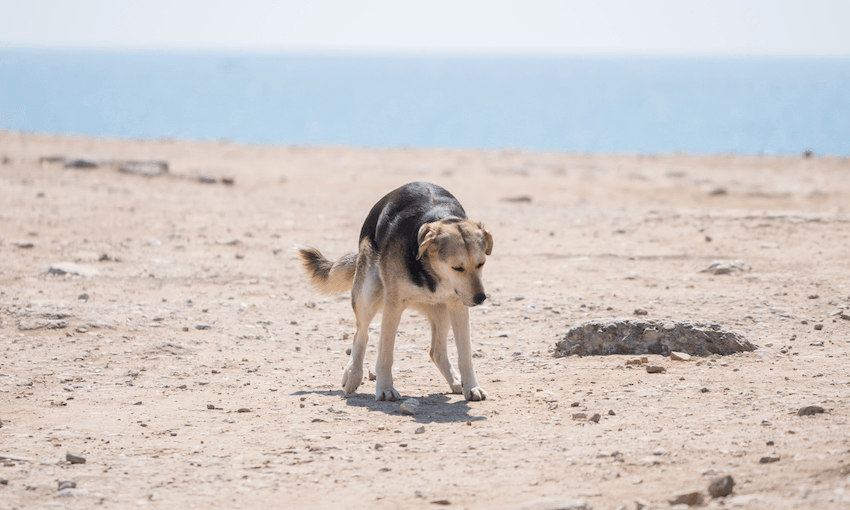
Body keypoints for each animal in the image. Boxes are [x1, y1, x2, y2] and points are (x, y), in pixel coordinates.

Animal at [297, 182, 493, 401]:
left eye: (481, 264)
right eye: (457, 268)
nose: (480, 298)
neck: (430, 270)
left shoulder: (458, 305)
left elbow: (465, 354)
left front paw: (472, 386)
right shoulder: (393, 306)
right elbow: (385, 354)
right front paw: (385, 388)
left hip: (442, 309)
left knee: (436, 350)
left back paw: (455, 380)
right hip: (367, 294)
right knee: (361, 335)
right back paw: (353, 374)